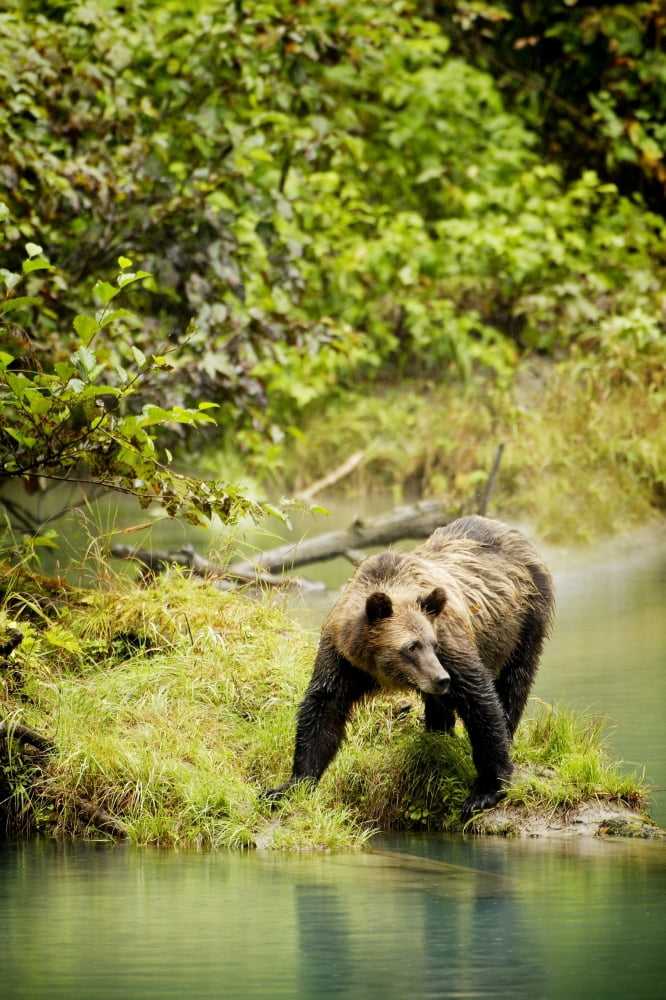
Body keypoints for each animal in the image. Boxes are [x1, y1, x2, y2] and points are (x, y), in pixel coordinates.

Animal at [263, 515, 554, 819]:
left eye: (432, 643)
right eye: (412, 646)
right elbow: (324, 708)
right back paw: (438, 733)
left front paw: (485, 791)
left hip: (524, 620)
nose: (442, 679)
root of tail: (509, 530)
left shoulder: (451, 643)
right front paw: (287, 786)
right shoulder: (342, 658)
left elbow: (480, 700)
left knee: (514, 680)